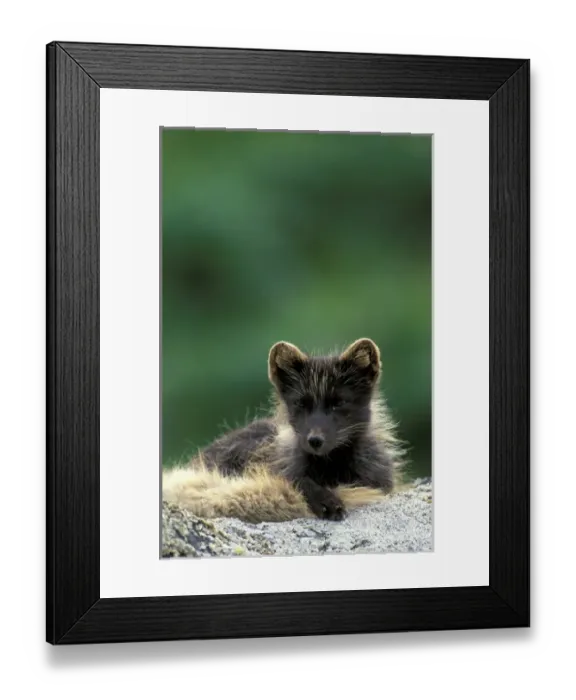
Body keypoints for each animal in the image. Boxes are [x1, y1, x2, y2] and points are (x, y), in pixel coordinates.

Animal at [162, 338, 407, 523]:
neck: (330, 467)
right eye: (301, 404)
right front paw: (326, 500)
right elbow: (296, 479)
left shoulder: (381, 483)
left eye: (338, 403)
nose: (314, 440)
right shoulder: (278, 467)